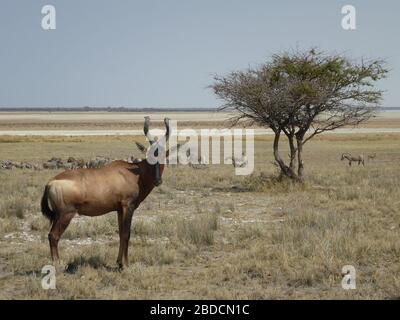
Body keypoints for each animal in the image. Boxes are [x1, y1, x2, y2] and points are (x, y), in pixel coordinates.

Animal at [40, 116, 170, 268]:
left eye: (163, 156)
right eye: (149, 155)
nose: (157, 180)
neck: (133, 172)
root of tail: (50, 182)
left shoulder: (119, 209)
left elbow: (121, 233)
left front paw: (119, 263)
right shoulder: (128, 206)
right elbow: (127, 233)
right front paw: (126, 265)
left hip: (58, 215)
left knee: (51, 235)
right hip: (65, 214)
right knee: (53, 236)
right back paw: (58, 265)